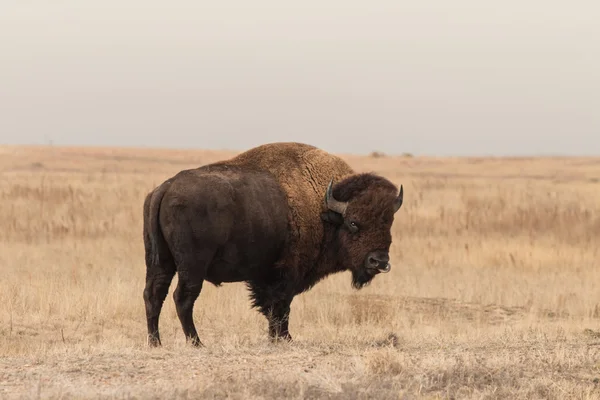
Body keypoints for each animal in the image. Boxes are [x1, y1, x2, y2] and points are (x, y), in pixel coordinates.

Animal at [142, 142, 404, 346]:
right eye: (353, 222)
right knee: (182, 298)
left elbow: (272, 308)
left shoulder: (266, 276)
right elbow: (280, 307)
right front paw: (284, 338)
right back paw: (196, 342)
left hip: (160, 262)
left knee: (154, 294)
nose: (378, 261)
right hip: (192, 267)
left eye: (389, 222)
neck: (323, 207)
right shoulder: (286, 275)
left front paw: (277, 337)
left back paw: (156, 342)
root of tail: (166, 187)